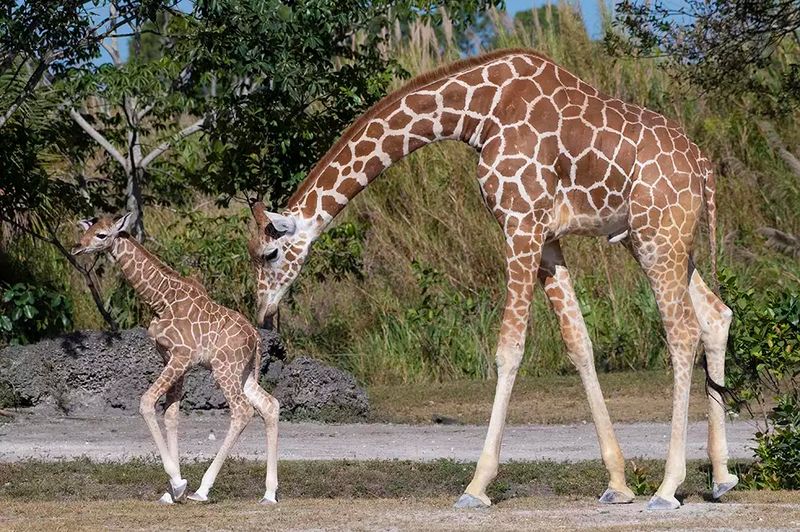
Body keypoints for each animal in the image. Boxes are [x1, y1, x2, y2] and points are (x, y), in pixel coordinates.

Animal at [72, 213, 280, 505]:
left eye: (101, 235)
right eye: (87, 230)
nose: (77, 247)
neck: (160, 300)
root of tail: (257, 339)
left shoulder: (181, 357)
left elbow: (147, 402)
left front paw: (179, 483)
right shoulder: (172, 359)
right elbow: (171, 414)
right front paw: (172, 489)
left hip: (224, 369)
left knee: (242, 410)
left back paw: (203, 490)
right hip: (244, 373)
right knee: (269, 405)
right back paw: (269, 494)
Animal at [247, 48, 738, 510]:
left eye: (268, 254)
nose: (264, 315)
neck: (477, 112)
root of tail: (704, 166)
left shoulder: (520, 223)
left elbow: (509, 348)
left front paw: (476, 486)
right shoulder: (545, 237)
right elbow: (578, 342)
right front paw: (617, 483)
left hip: (659, 235)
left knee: (682, 332)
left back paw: (669, 487)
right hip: (659, 239)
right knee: (716, 315)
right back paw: (721, 477)